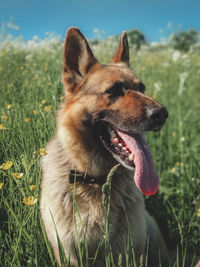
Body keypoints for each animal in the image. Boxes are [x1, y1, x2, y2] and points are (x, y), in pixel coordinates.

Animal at [40, 26, 169, 266]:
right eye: (114, 90)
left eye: (142, 88)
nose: (162, 114)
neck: (95, 180)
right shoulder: (68, 253)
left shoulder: (128, 253)